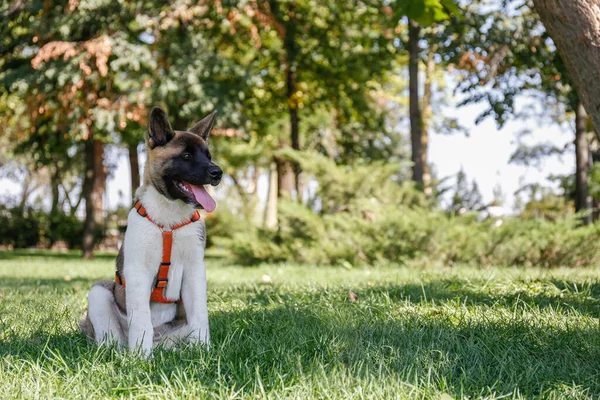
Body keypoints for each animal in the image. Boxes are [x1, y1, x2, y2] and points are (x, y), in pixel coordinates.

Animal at [78, 106, 221, 356]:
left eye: (208, 156)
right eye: (186, 156)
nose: (218, 172)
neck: (169, 218)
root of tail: (159, 339)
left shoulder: (195, 272)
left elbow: (200, 315)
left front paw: (203, 351)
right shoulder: (137, 272)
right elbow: (141, 318)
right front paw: (141, 359)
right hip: (99, 293)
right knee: (113, 338)